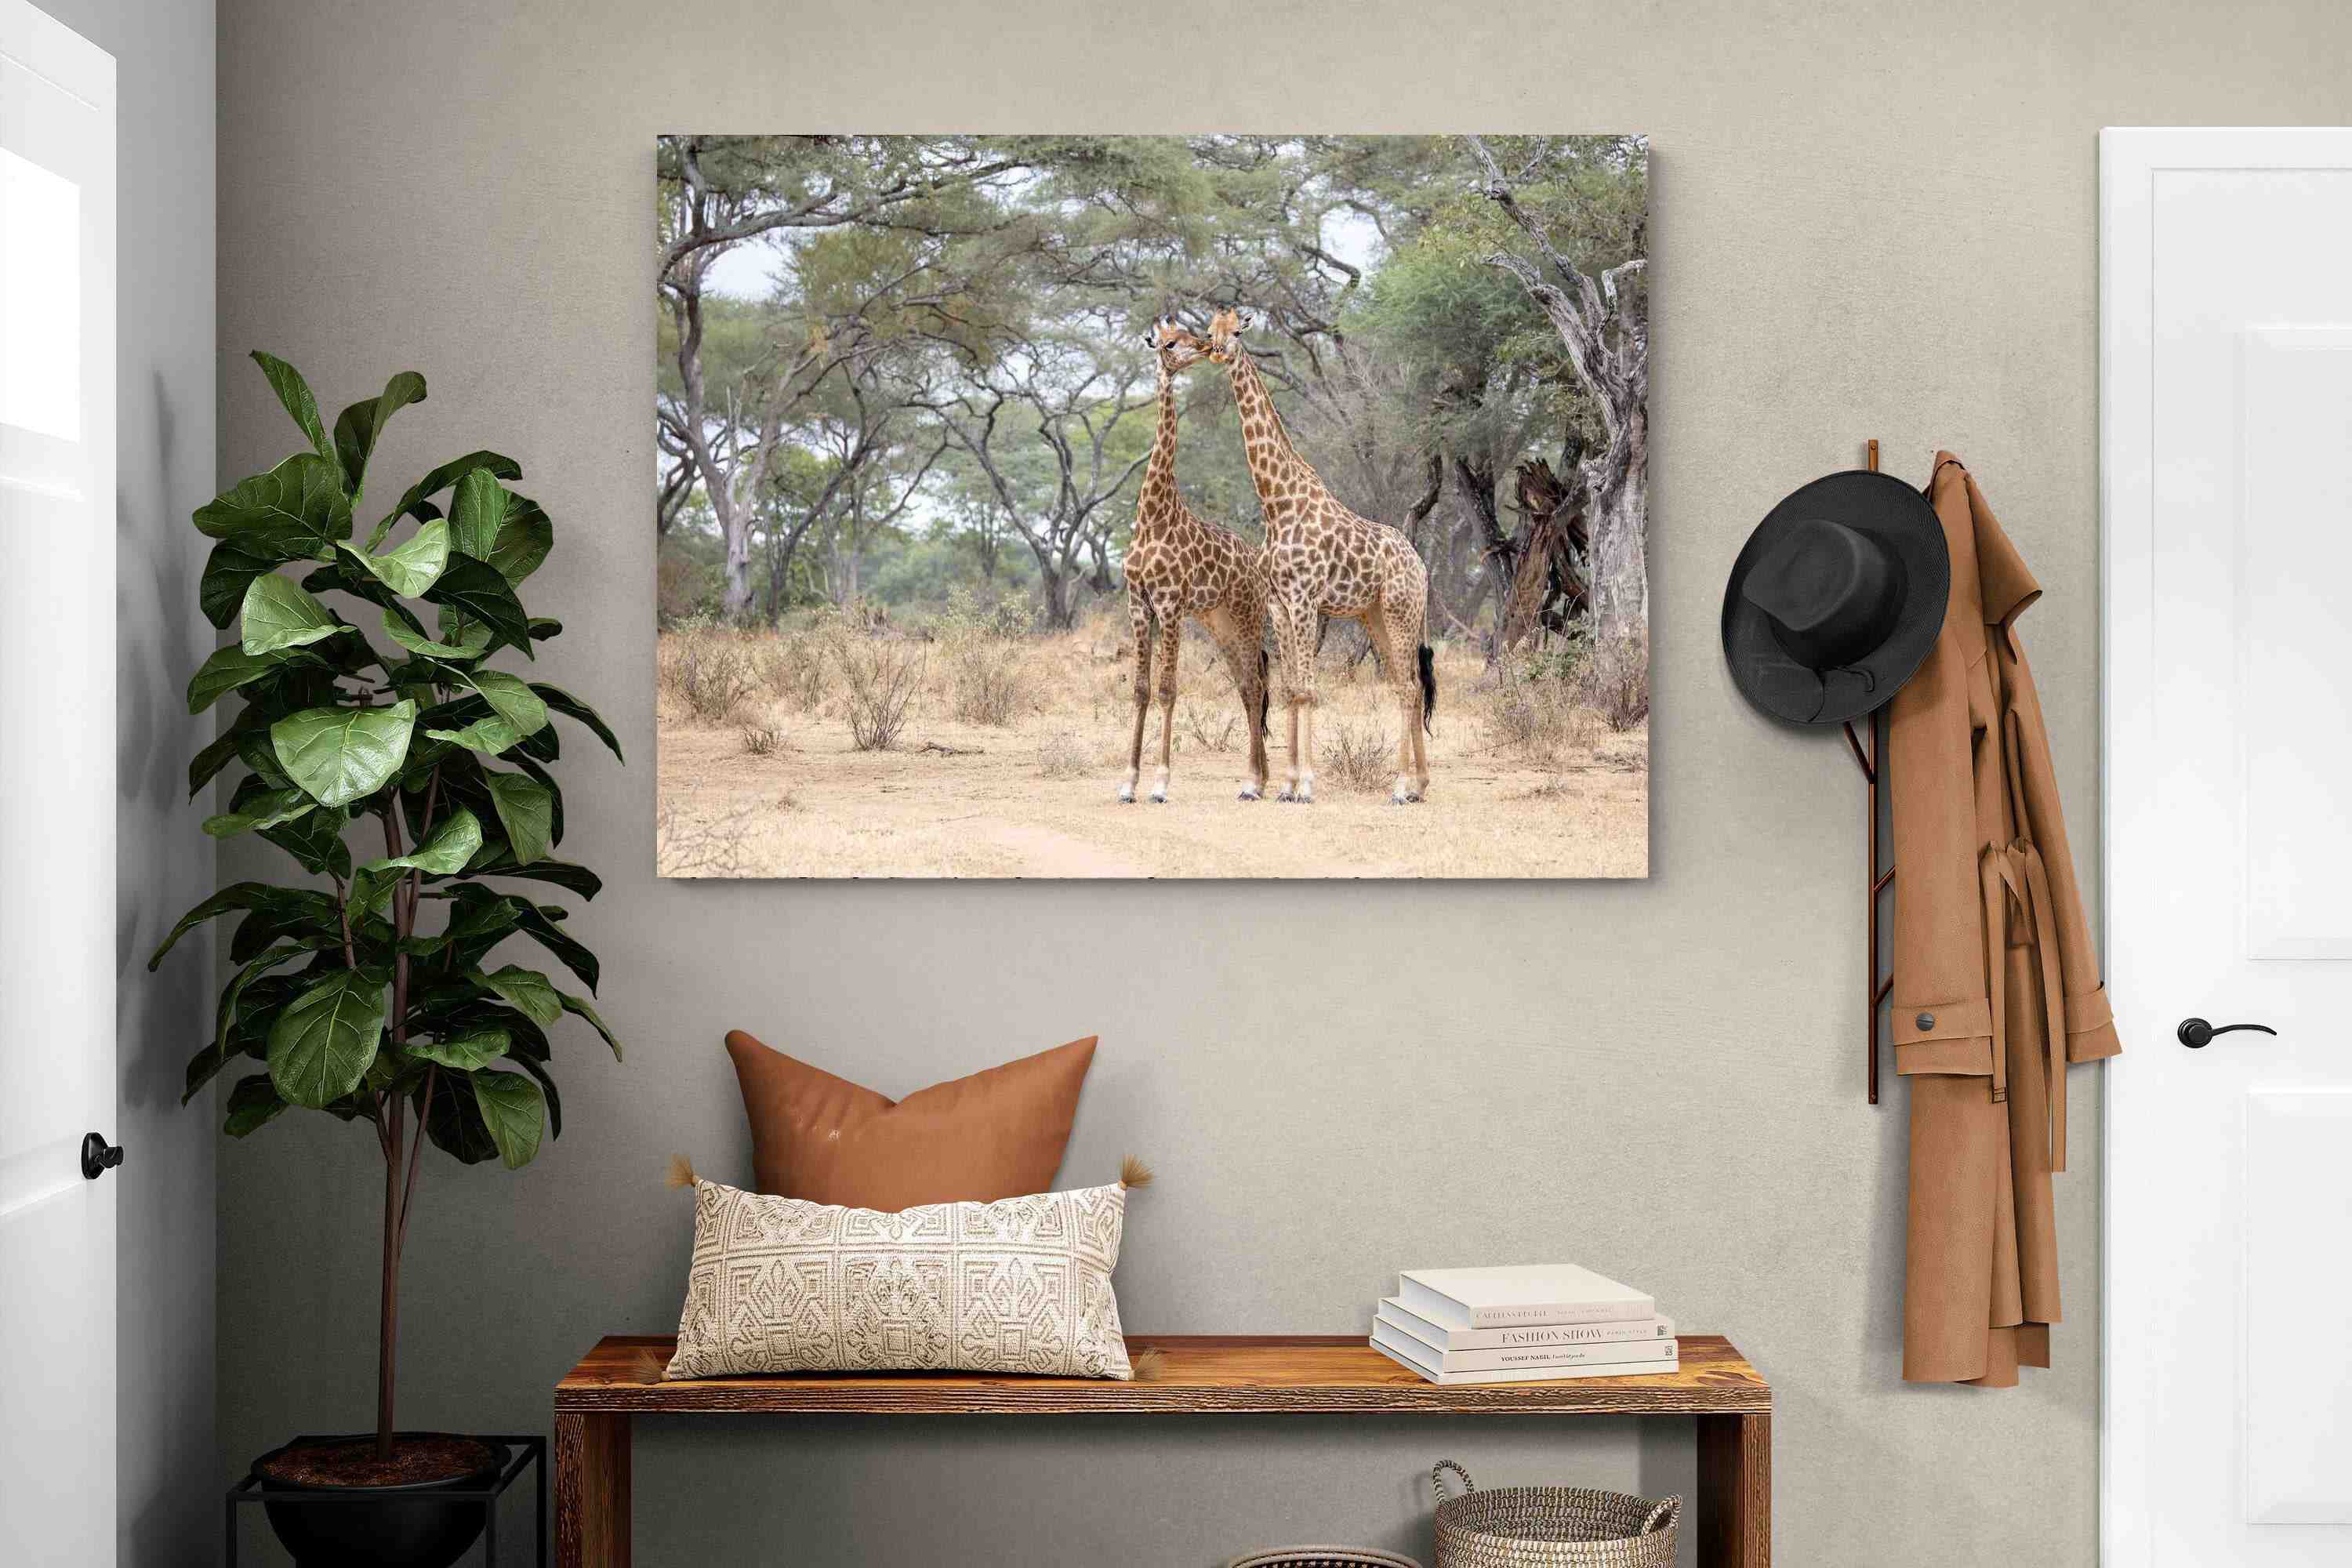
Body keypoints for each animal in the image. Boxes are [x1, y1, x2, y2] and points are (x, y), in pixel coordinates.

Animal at [1118, 318, 1272, 804]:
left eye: (1189, 334)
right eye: (1169, 342)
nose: (1205, 346)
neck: (1153, 516)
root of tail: (1256, 564)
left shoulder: (1169, 605)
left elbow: (1168, 689)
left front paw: (1160, 784)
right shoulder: (1138, 604)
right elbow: (1142, 690)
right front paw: (1127, 783)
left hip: (1246, 615)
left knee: (1256, 684)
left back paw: (1253, 782)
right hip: (1217, 621)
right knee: (1246, 685)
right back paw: (1260, 778)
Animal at [1199, 308, 1434, 804]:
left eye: (1237, 330)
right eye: (1210, 331)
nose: (1216, 351)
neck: (1276, 502)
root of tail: (1421, 567)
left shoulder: (1305, 600)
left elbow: (1308, 689)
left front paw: (1305, 786)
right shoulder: (1279, 605)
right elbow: (1291, 688)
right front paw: (1286, 785)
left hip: (1400, 612)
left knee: (1407, 688)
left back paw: (1400, 787)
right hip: (1376, 616)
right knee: (1410, 685)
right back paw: (1420, 785)